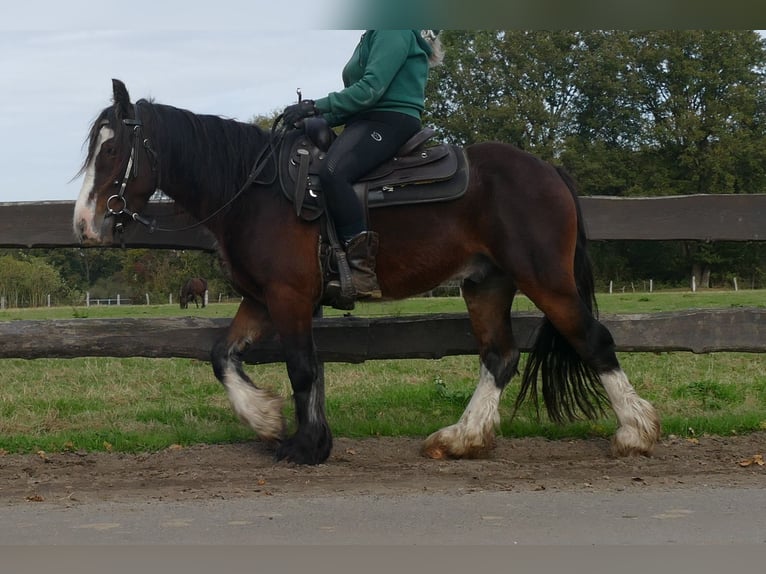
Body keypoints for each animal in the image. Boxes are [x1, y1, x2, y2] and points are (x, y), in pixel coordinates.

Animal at [70, 80, 660, 468]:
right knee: (500, 356)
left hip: (545, 280)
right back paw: (462, 438)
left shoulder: (288, 297)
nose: (84, 224)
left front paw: (305, 446)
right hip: (485, 283)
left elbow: (302, 369)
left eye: (113, 150)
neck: (257, 192)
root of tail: (548, 170)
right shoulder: (262, 299)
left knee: (593, 340)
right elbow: (224, 357)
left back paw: (634, 433)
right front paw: (267, 420)